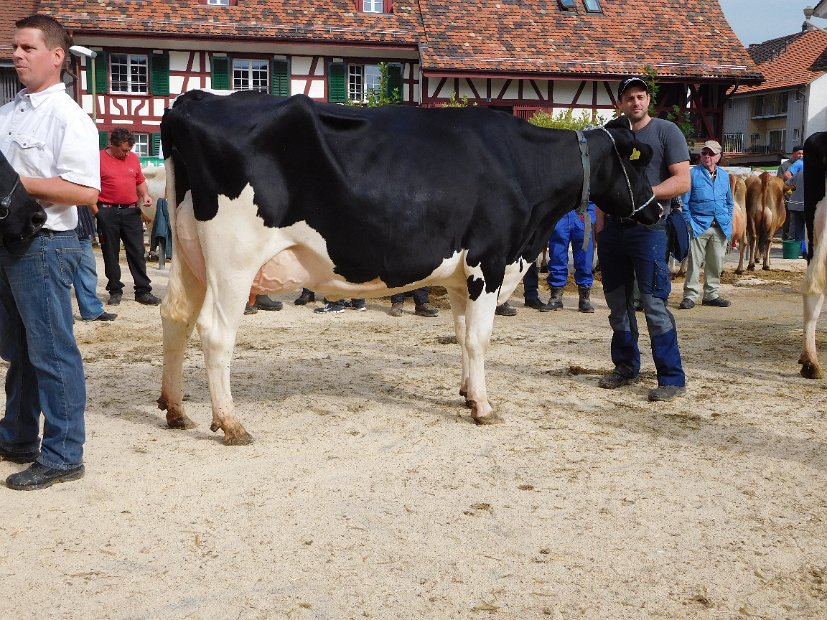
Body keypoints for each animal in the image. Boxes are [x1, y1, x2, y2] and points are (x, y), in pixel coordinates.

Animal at [157, 89, 660, 444]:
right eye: (638, 166)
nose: (658, 209)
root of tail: (191, 101)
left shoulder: (461, 275)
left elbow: (461, 333)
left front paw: (465, 393)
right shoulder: (489, 262)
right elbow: (478, 338)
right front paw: (483, 406)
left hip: (192, 256)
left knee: (176, 317)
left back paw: (176, 409)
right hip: (234, 260)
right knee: (215, 332)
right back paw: (230, 423)